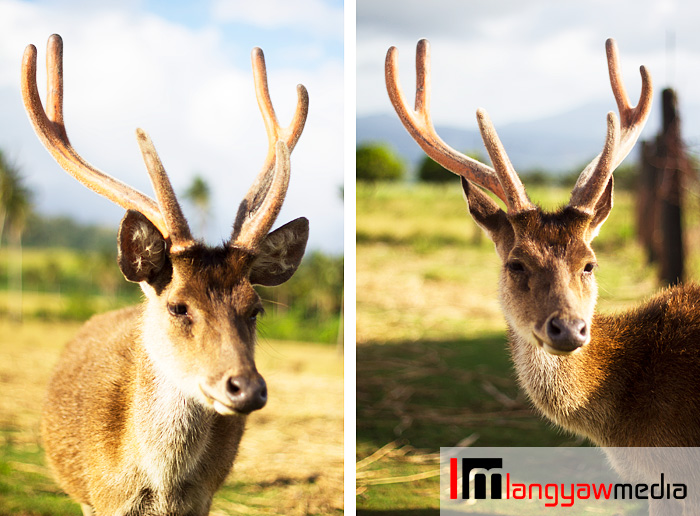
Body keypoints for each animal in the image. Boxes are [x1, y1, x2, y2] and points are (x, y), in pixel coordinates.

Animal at [21, 34, 308, 512]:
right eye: (178, 307)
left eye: (256, 308)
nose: (246, 388)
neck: (158, 489)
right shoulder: (103, 498)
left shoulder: (204, 498)